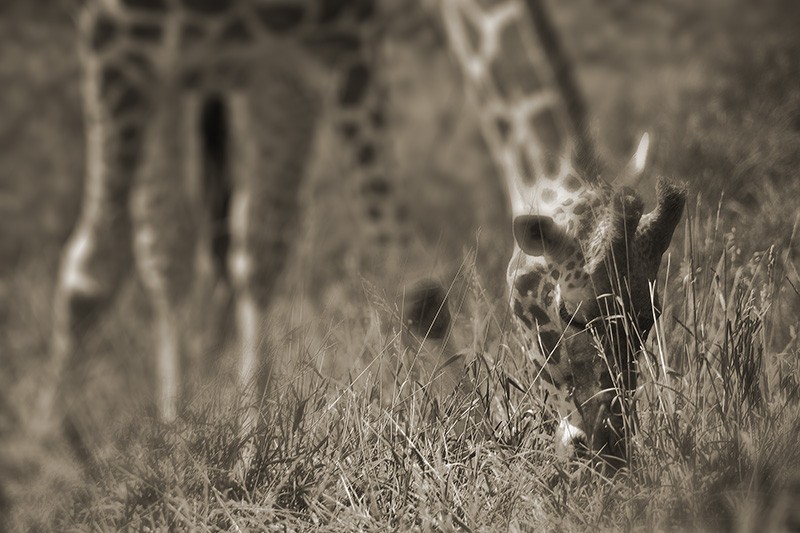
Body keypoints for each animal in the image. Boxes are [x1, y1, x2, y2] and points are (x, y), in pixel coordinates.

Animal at [34, 0, 433, 437]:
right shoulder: (117, 41)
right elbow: (91, 274)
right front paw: (48, 442)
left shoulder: (320, 54)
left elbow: (409, 284)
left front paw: (253, 445)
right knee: (154, 247)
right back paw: (168, 430)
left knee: (208, 246)